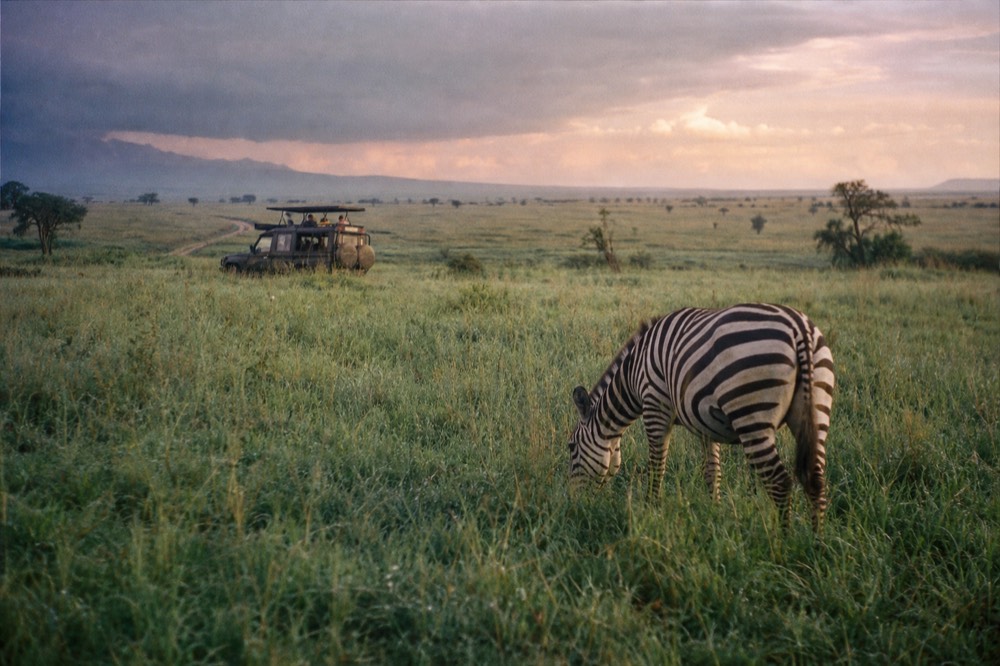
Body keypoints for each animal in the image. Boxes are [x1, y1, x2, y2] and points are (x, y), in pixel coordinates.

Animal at [567, 303, 835, 530]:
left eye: (571, 447)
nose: (575, 505)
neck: (633, 375)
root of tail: (799, 329)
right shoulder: (707, 423)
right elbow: (712, 472)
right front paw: (715, 511)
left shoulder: (655, 405)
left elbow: (656, 465)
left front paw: (651, 507)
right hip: (816, 409)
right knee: (816, 480)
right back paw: (816, 542)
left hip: (751, 415)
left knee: (780, 481)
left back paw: (783, 541)